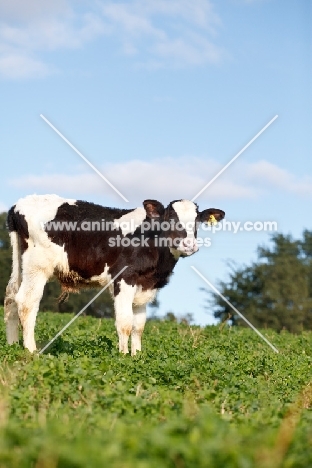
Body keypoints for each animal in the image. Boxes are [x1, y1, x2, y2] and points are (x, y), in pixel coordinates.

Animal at [4, 194, 224, 354]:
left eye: (197, 221)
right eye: (170, 218)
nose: (189, 245)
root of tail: (18, 205)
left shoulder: (145, 285)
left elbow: (138, 326)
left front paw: (137, 357)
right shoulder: (124, 279)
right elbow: (125, 322)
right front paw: (123, 356)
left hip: (21, 264)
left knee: (11, 298)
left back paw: (13, 346)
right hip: (37, 265)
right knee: (27, 302)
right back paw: (31, 351)